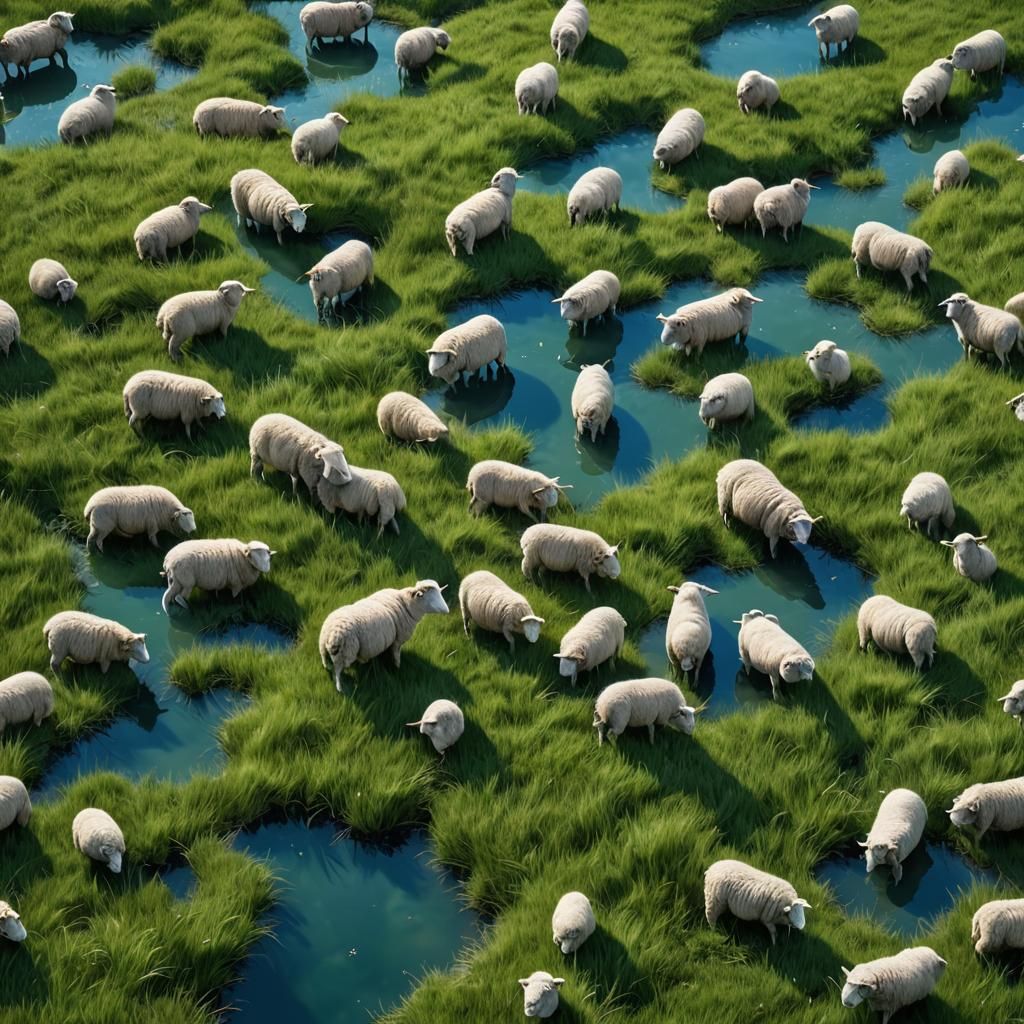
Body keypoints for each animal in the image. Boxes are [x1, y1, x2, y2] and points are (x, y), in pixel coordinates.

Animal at [318, 580, 449, 688]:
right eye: (430, 597)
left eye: (440, 594)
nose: (447, 610)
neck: (407, 603)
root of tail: (332, 633)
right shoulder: (397, 641)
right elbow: (396, 656)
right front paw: (397, 668)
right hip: (345, 653)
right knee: (338, 671)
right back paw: (340, 687)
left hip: (323, 646)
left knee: (325, 659)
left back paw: (327, 667)